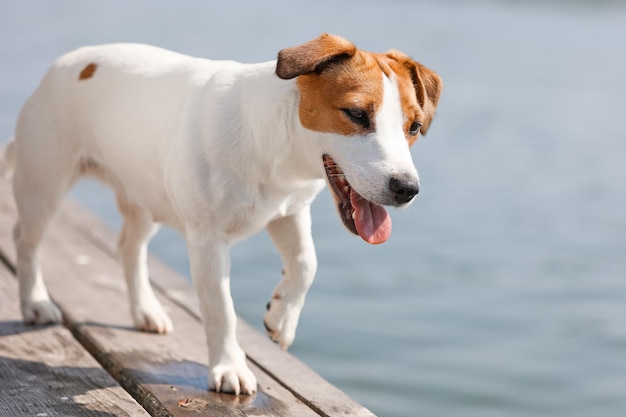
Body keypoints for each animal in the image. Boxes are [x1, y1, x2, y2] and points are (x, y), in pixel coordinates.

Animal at [7, 33, 442, 394]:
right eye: (356, 115)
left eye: (414, 126)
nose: (406, 189)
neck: (277, 150)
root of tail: (68, 61)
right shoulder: (208, 242)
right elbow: (222, 311)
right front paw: (230, 368)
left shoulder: (289, 212)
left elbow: (306, 264)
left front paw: (281, 318)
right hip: (44, 184)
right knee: (26, 241)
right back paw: (35, 304)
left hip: (143, 191)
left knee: (129, 247)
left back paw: (145, 311)